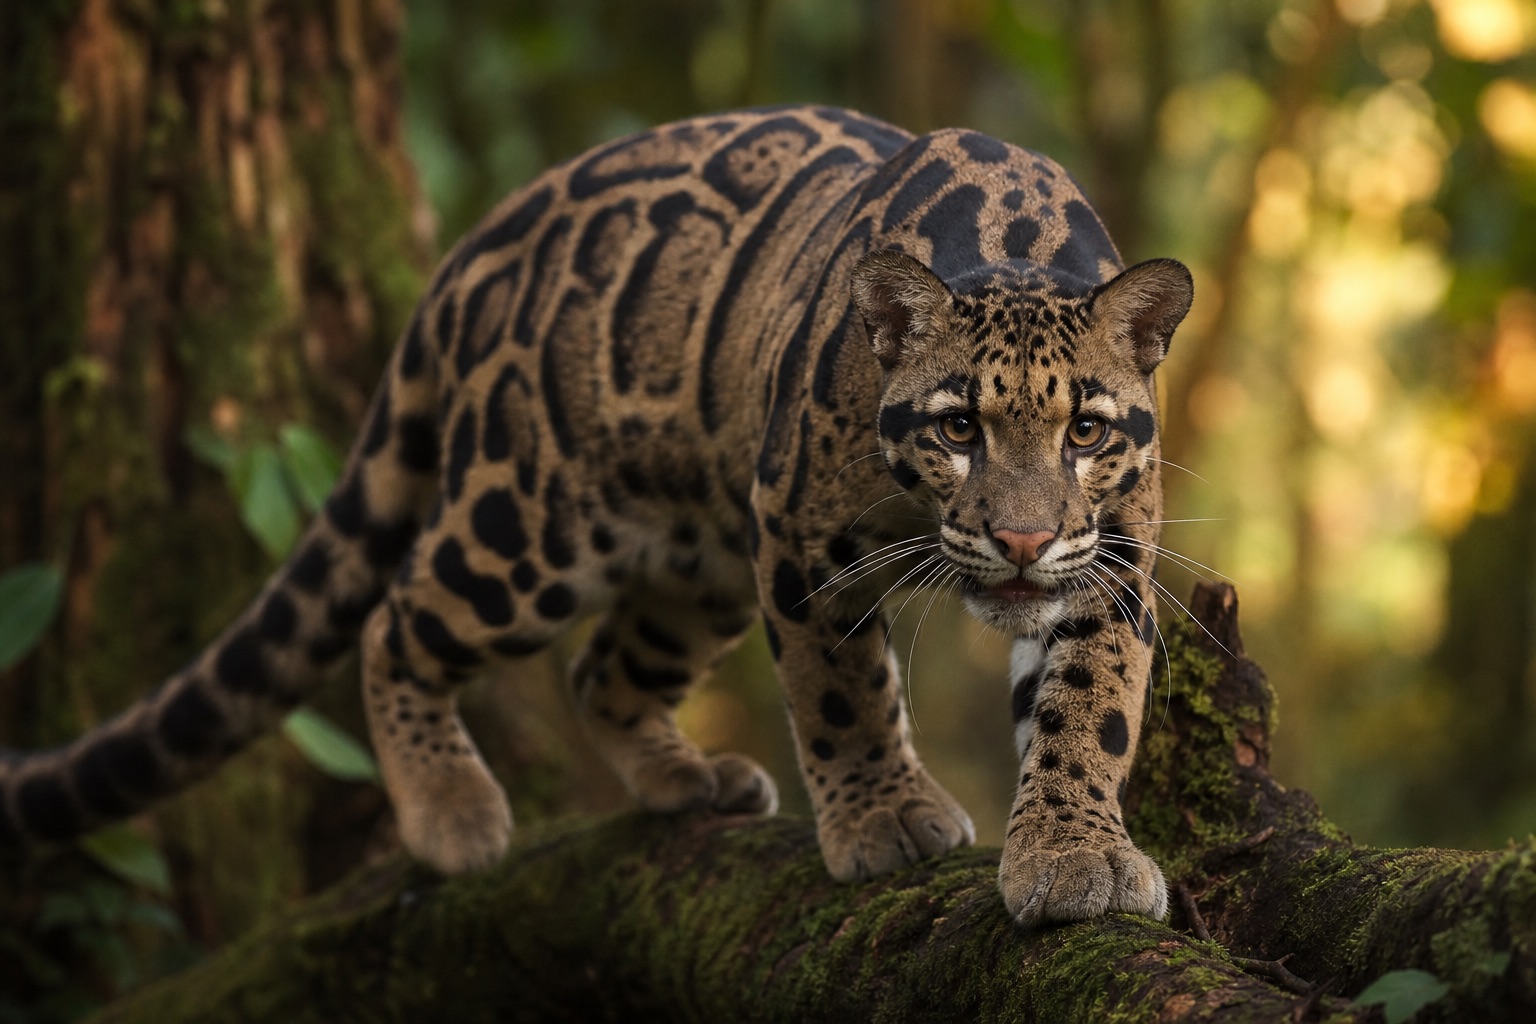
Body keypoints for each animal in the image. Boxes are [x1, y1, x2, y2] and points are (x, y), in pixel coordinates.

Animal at [0, 105, 1192, 928]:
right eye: (955, 429)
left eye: (1087, 433)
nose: (1023, 540)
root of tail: (469, 253)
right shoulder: (801, 539)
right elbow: (841, 691)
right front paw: (885, 819)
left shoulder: (1111, 557)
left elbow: (1090, 706)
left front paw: (1074, 853)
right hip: (525, 530)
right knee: (396, 619)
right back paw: (451, 812)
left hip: (696, 569)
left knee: (601, 669)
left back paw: (686, 778)